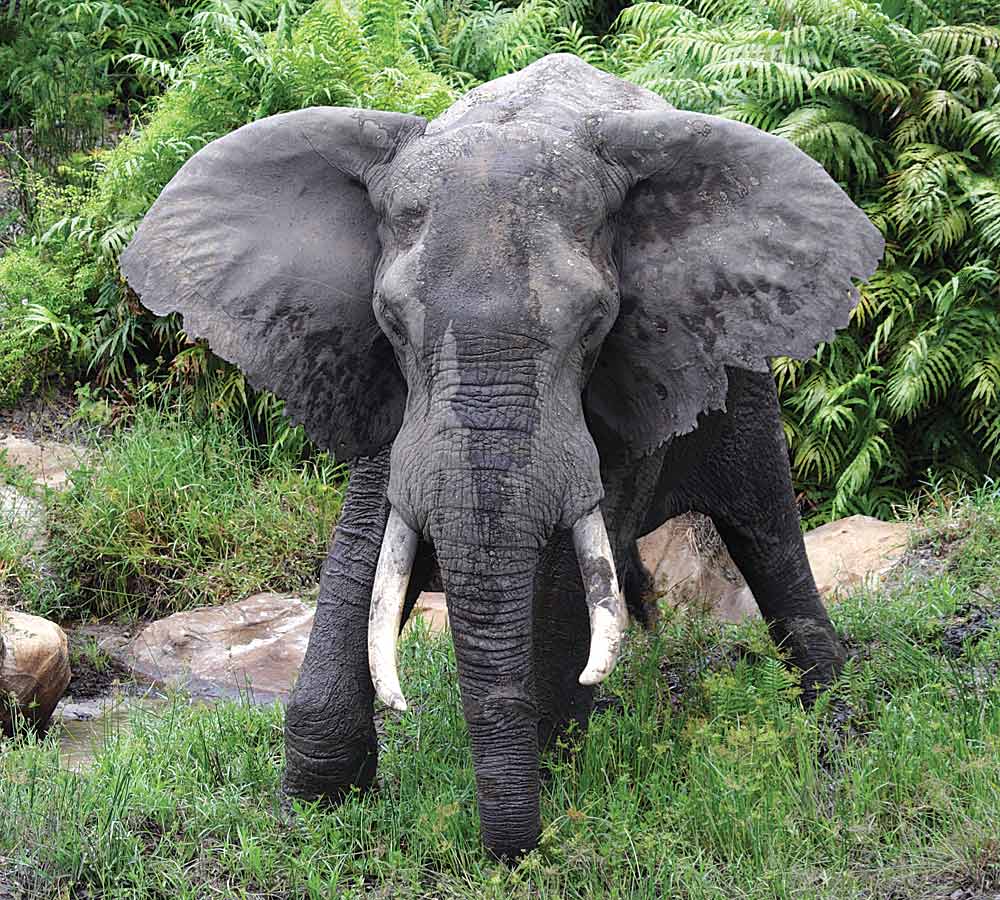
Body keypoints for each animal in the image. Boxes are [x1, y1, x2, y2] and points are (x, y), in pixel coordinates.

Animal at [119, 52, 884, 856]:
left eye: (596, 324)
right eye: (390, 322)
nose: (509, 853)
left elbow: (568, 574)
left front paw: (548, 776)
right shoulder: (385, 390)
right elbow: (365, 548)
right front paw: (314, 811)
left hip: (737, 364)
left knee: (765, 532)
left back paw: (836, 731)